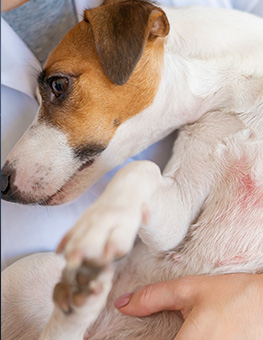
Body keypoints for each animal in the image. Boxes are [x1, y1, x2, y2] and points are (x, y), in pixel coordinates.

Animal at [2, 1, 263, 338]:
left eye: (57, 84)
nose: (2, 183)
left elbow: (141, 169)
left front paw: (105, 219)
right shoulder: (177, 223)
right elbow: (142, 168)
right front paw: (106, 220)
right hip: (33, 272)